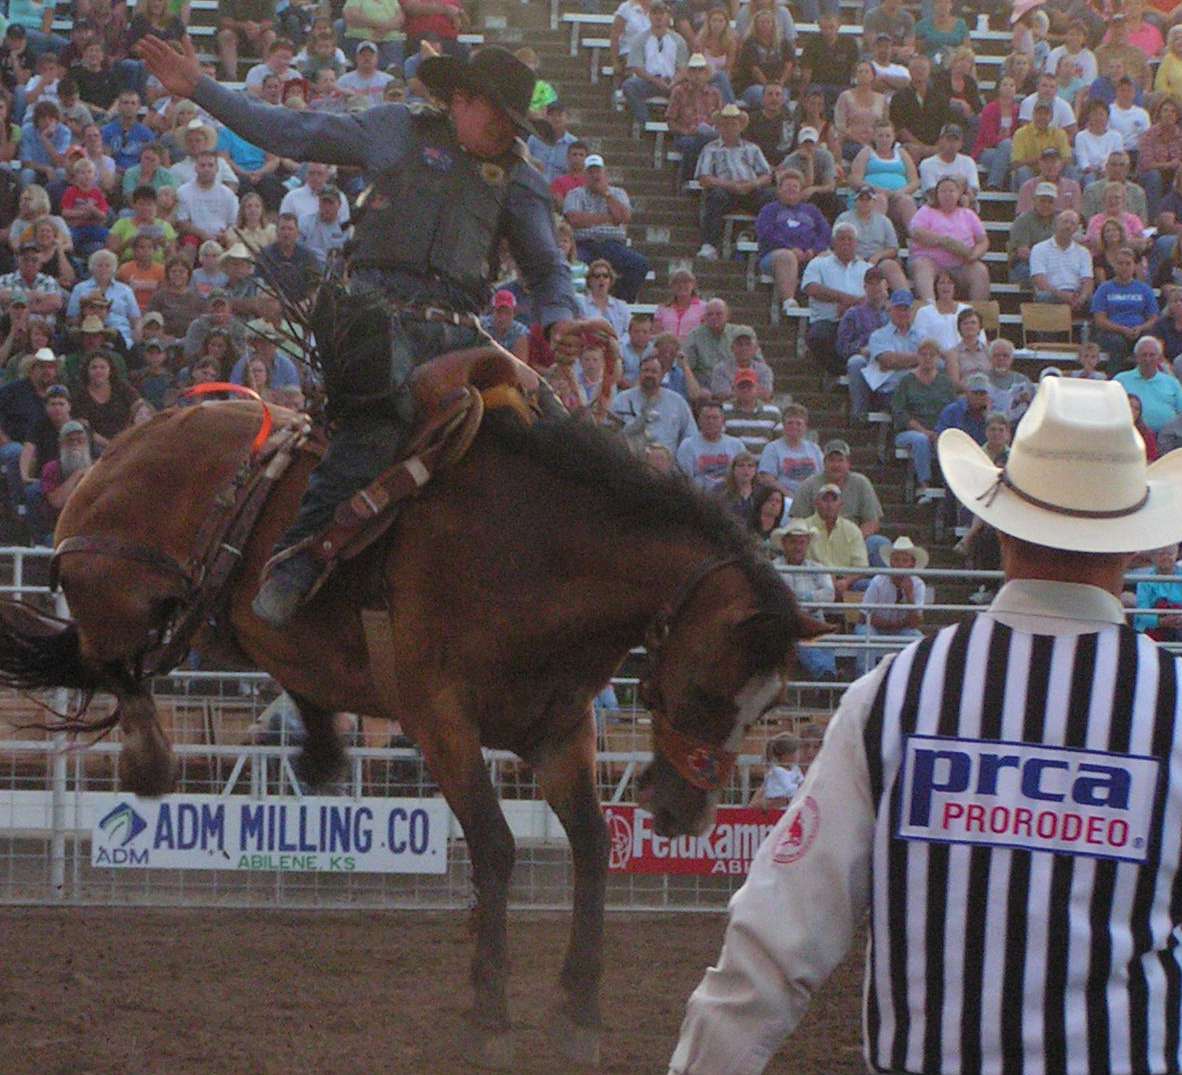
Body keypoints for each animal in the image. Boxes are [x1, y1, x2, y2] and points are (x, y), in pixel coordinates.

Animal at [0, 397, 822, 1069]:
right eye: (709, 690)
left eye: (767, 705)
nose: (686, 813)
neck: (538, 551)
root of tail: (130, 442)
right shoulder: (441, 720)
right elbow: (494, 846)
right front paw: (489, 1014)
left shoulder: (559, 730)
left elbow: (592, 844)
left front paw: (579, 1011)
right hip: (121, 587)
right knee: (113, 661)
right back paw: (150, 758)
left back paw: (321, 747)